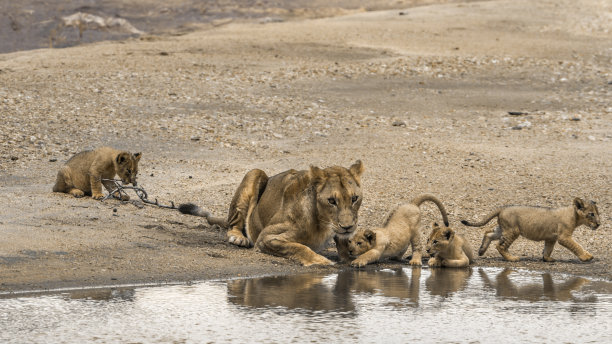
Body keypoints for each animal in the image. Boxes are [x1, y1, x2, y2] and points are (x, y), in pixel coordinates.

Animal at [180, 161, 364, 266]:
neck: (323, 222)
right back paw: (238, 237)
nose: (348, 227)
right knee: (234, 223)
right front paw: (320, 261)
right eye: (332, 201)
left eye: (354, 198)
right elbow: (298, 247)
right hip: (254, 172)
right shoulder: (266, 237)